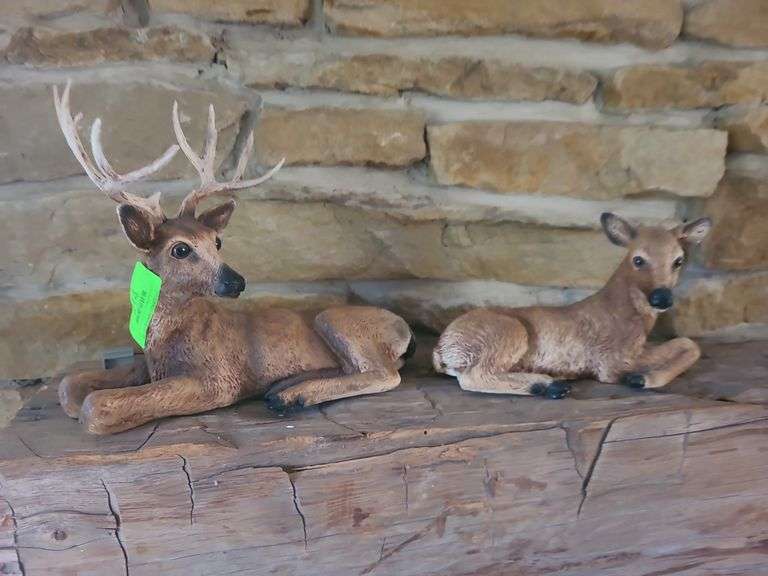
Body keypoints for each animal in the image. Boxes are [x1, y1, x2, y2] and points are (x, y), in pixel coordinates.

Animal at [54, 81, 415, 434]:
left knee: (384, 373)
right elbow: (68, 386)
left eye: (217, 241)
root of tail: (404, 330)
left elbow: (96, 405)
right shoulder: (148, 364)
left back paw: (291, 396)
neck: (163, 341)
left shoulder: (219, 379)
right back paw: (284, 387)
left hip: (336, 320)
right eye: (181, 248)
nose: (236, 280)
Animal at [433, 213, 712, 399]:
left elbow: (688, 344)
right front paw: (642, 378)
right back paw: (549, 385)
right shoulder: (611, 361)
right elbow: (689, 343)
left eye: (678, 261)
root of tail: (442, 350)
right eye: (638, 259)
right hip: (506, 334)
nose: (661, 298)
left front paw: (645, 377)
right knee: (475, 376)